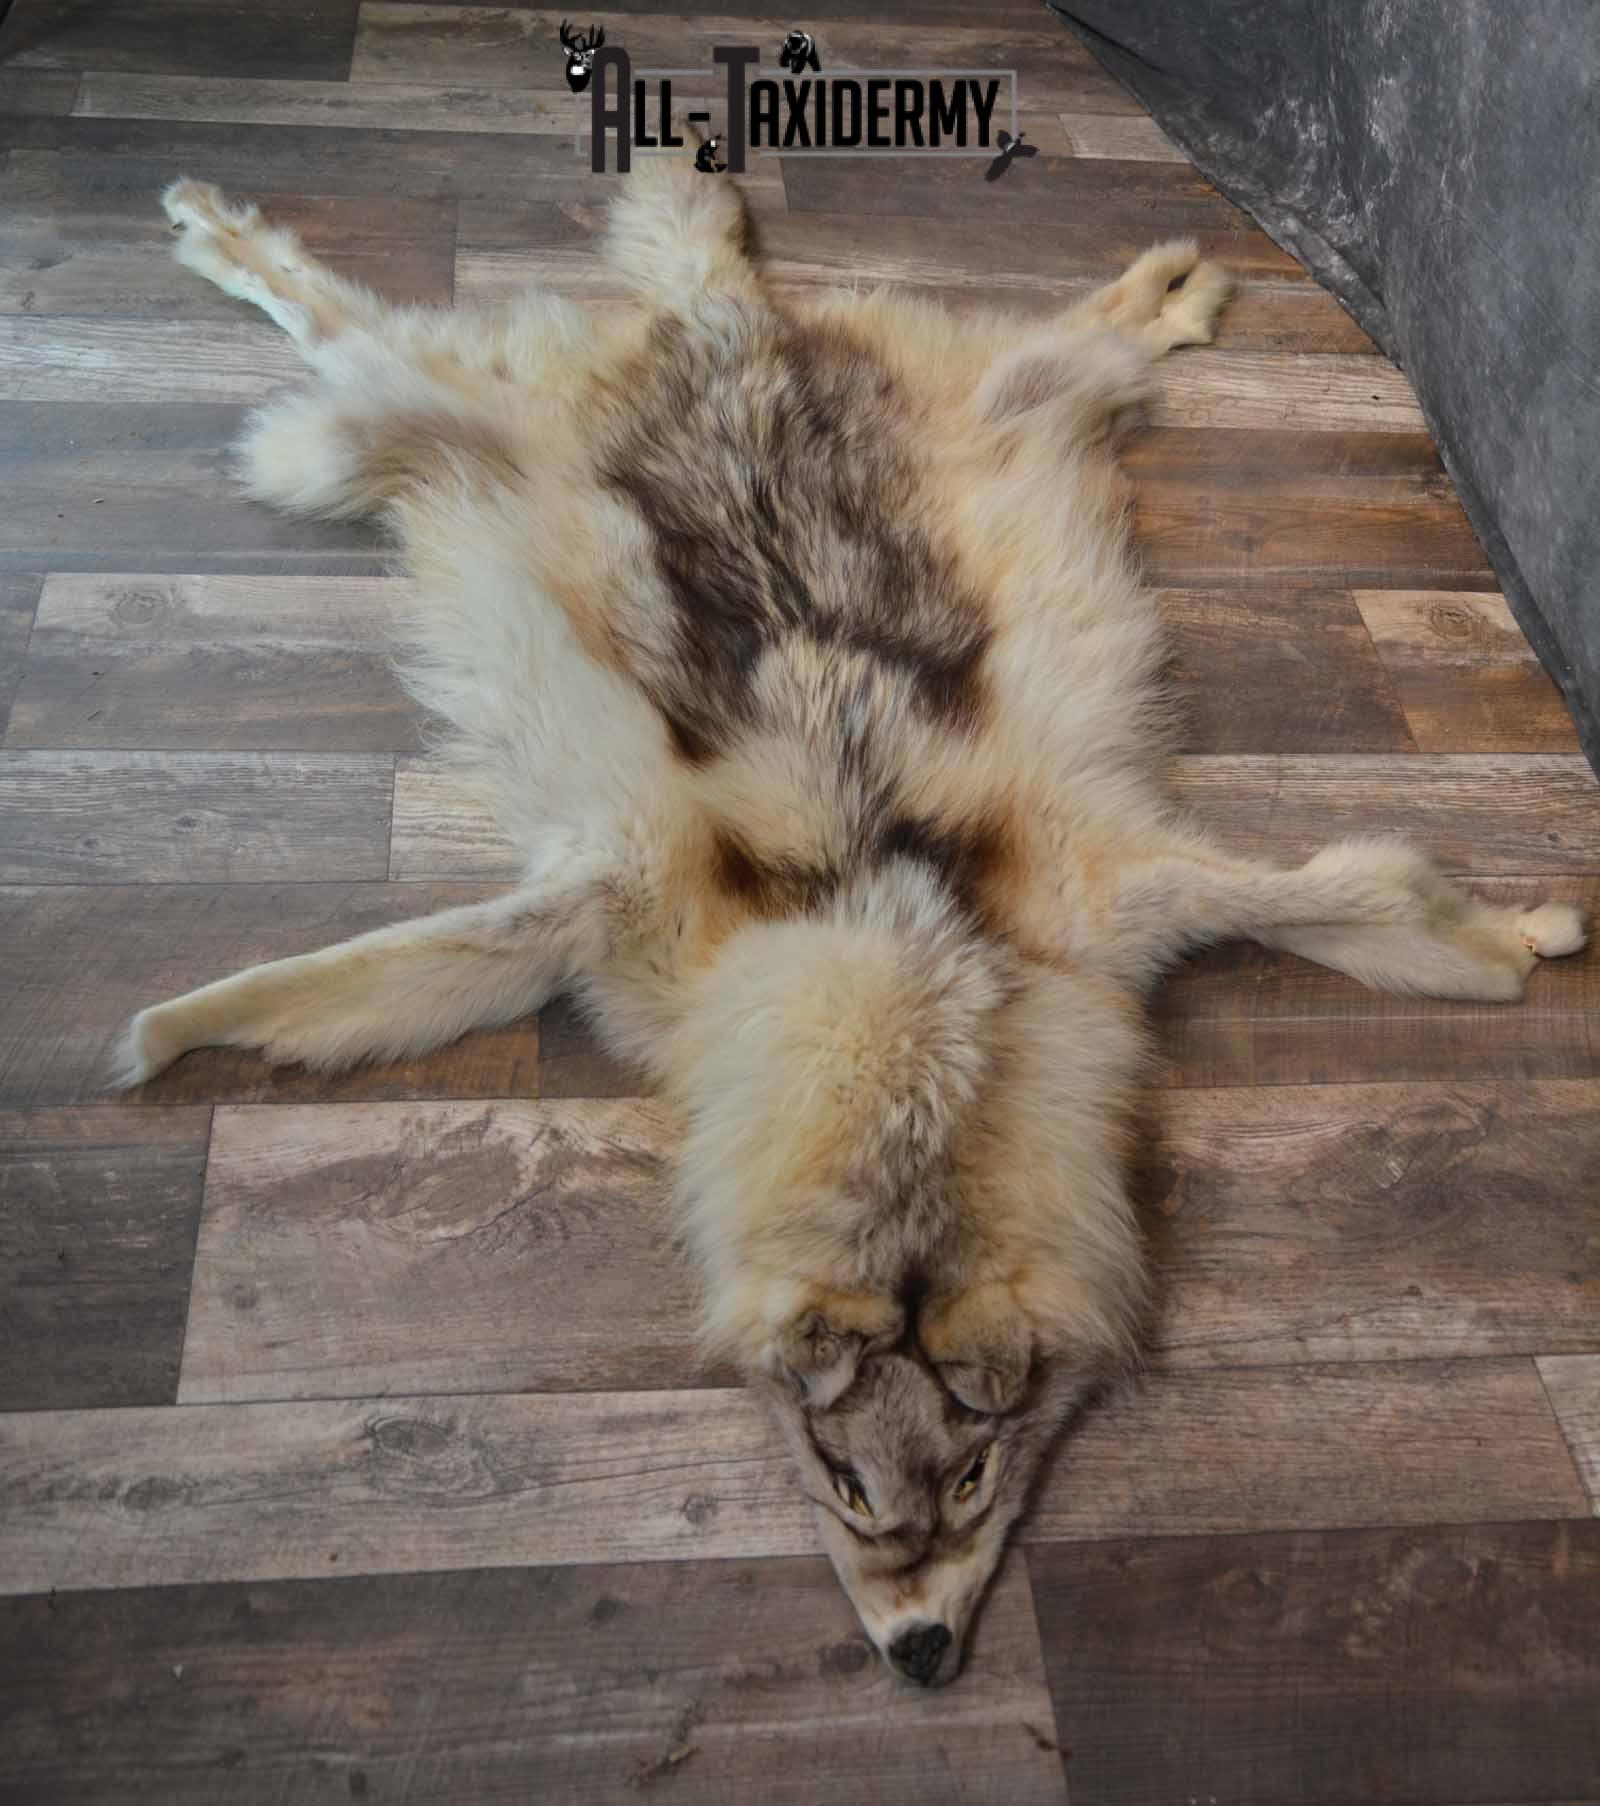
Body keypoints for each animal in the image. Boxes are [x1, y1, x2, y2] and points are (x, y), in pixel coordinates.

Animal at [117, 152, 1586, 1686]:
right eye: (846, 1487)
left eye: (973, 1479)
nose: (923, 1654)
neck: (911, 974)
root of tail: (719, 327)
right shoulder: (615, 910)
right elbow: (338, 972)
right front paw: (167, 1035)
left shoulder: (1121, 898)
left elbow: (1357, 898)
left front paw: (1506, 938)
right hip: (410, 428)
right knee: (333, 312)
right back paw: (215, 228)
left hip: (1000, 415)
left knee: (1079, 346)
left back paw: (1164, 292)